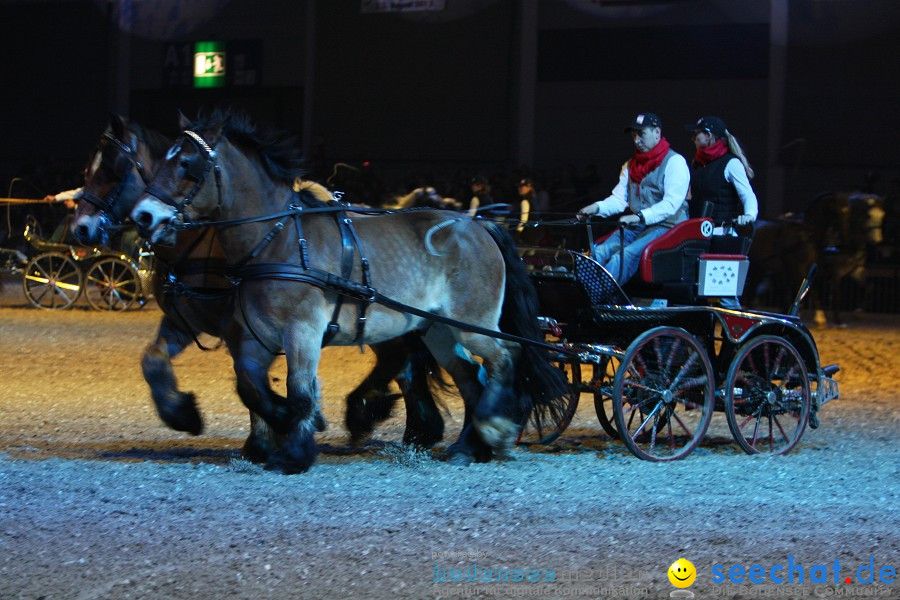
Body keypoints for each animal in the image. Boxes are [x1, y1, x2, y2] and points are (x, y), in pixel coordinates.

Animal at [73, 113, 446, 460]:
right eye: (89, 169)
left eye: (114, 168)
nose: (81, 228)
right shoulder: (185, 320)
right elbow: (154, 362)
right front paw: (183, 415)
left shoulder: (241, 325)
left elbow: (250, 383)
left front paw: (270, 435)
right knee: (405, 362)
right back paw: (412, 427)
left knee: (402, 360)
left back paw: (376, 416)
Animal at [130, 109, 568, 474]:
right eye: (160, 161)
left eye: (187, 165)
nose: (142, 216)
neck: (278, 240)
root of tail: (479, 224)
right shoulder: (254, 337)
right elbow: (251, 388)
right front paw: (279, 427)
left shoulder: (302, 331)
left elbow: (299, 391)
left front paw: (294, 452)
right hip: (438, 330)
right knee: (472, 378)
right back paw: (466, 447)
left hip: (472, 322)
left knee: (504, 357)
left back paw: (496, 428)